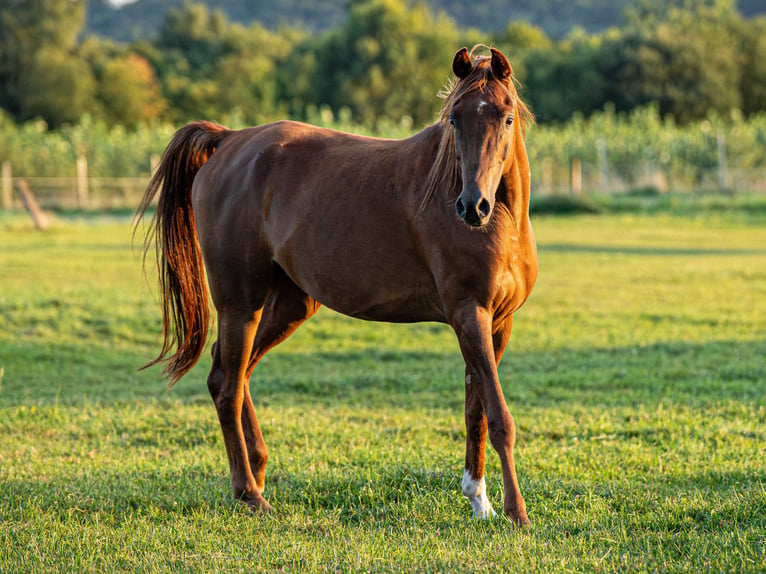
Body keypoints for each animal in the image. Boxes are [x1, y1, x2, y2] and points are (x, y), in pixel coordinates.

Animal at [135, 46, 538, 526]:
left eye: (506, 116)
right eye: (455, 119)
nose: (472, 206)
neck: (501, 223)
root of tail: (230, 140)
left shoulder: (498, 321)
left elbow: (476, 411)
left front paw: (479, 500)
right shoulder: (468, 314)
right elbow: (500, 417)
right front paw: (516, 513)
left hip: (290, 305)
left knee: (233, 371)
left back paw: (258, 470)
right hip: (240, 302)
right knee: (227, 384)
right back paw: (251, 494)